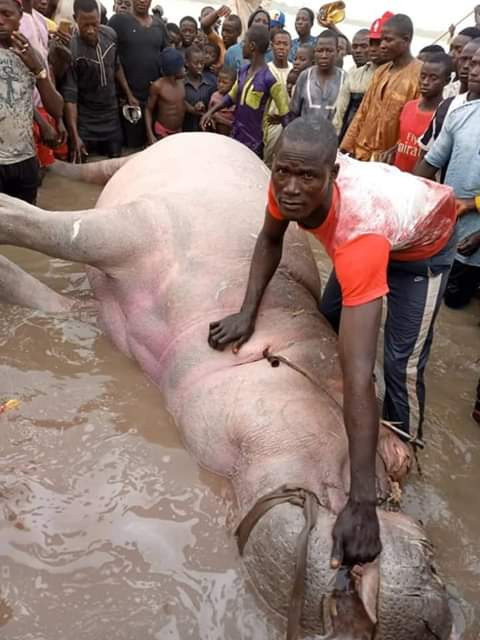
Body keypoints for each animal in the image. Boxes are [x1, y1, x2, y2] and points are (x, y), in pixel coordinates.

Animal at [0, 134, 454, 639]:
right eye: (397, 463)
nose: (440, 585)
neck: (272, 345)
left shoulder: (101, 312)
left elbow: (38, 289)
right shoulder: (141, 229)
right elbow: (42, 225)